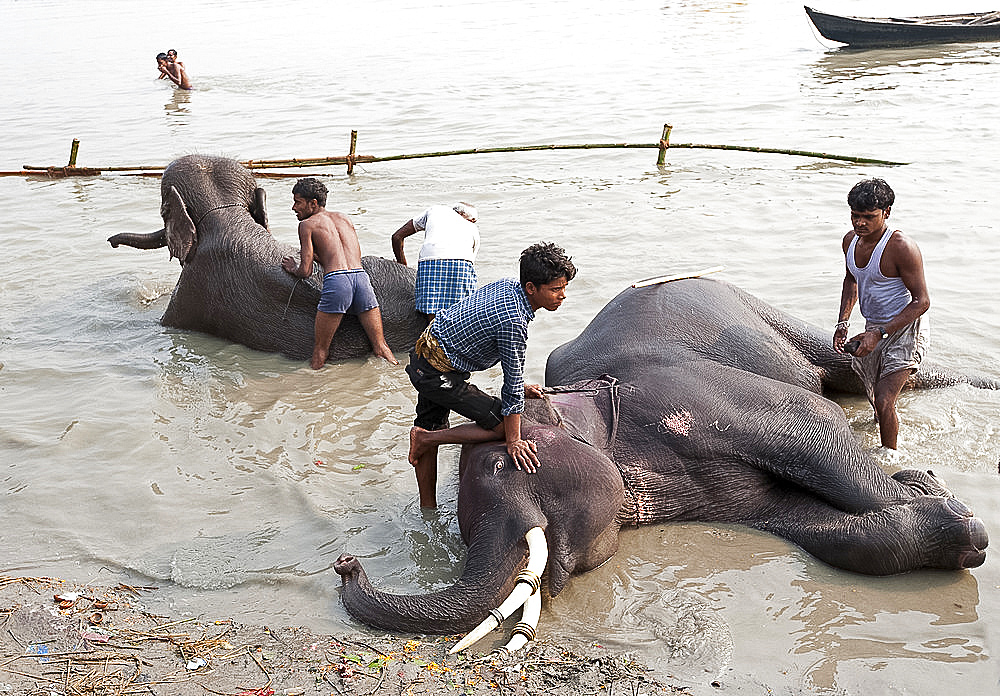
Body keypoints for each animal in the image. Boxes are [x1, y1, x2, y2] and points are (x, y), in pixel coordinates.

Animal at [336, 276, 992, 652]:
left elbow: (814, 423)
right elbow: (809, 524)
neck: (586, 400)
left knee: (849, 376)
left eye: (501, 469)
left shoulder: (694, 398)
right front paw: (948, 520)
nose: (346, 565)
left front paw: (947, 506)